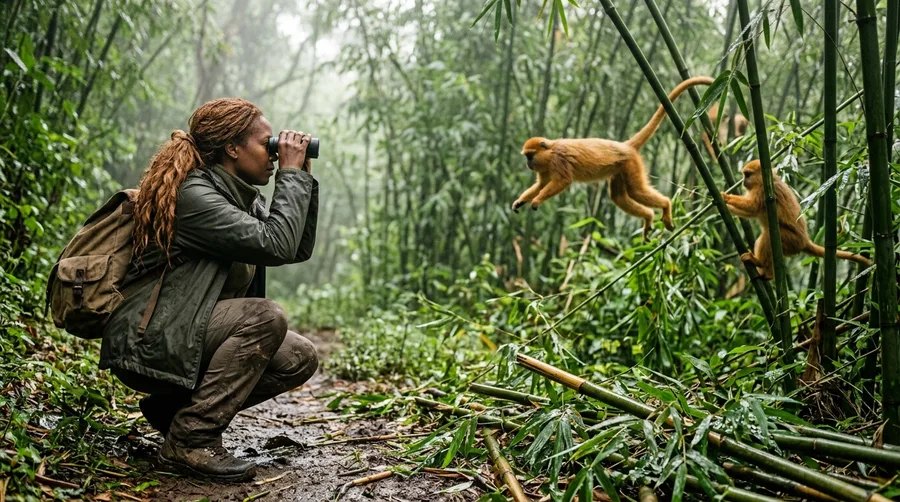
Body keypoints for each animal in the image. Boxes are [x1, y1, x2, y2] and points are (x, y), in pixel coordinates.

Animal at [513, 76, 714, 240]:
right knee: (618, 196)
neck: (551, 151)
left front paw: (537, 200)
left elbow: (563, 181)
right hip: (620, 167)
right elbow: (541, 184)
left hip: (631, 163)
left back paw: (665, 205)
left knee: (635, 190)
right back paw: (649, 216)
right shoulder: (546, 166)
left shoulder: (558, 160)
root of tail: (625, 146)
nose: (528, 163)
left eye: (530, 156)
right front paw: (520, 201)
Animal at [721, 159, 871, 280]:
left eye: (747, 175)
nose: (743, 181)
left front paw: (725, 198)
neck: (766, 181)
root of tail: (805, 240)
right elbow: (750, 212)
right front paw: (723, 206)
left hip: (791, 241)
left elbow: (752, 207)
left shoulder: (764, 191)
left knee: (770, 236)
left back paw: (761, 266)